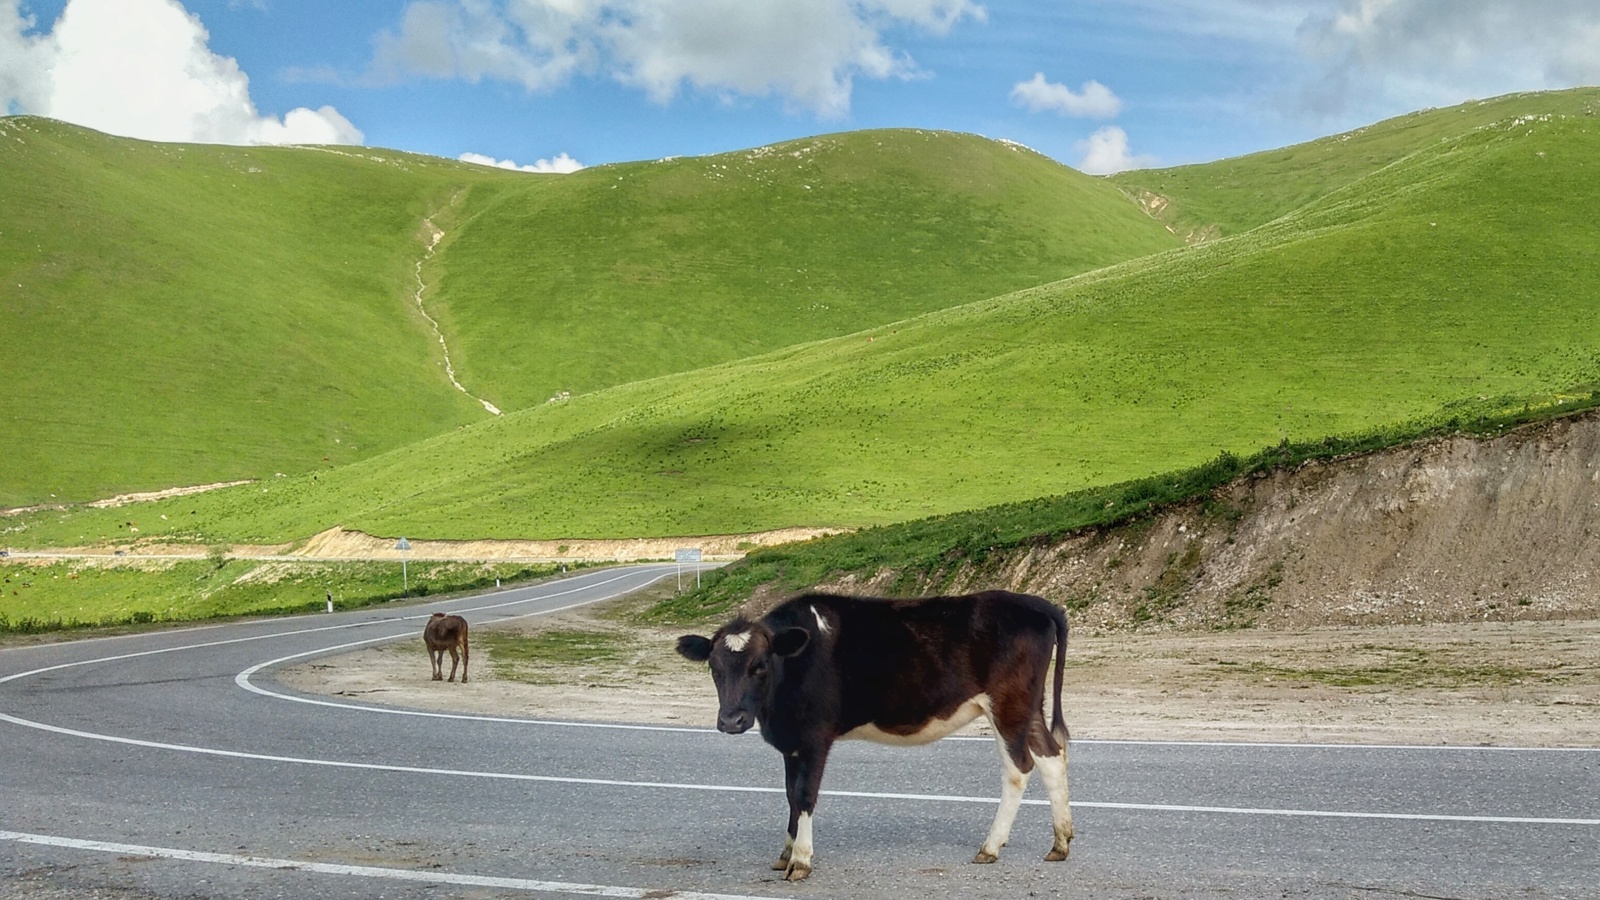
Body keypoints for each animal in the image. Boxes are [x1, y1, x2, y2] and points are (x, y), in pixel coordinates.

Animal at [678, 589, 1075, 877]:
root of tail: (1036, 603)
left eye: (760, 665)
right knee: (1051, 756)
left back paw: (990, 847)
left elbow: (805, 795)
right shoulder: (792, 741)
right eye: (714, 667)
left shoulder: (814, 736)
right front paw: (785, 854)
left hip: (1007, 705)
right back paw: (1060, 843)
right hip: (1029, 707)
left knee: (1018, 768)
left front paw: (801, 860)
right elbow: (790, 795)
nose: (732, 721)